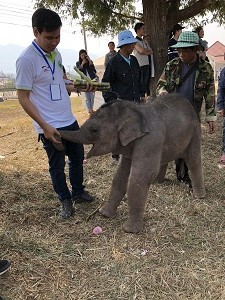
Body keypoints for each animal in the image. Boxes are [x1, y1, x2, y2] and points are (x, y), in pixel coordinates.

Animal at [55, 95, 206, 233]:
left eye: (94, 130)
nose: (56, 135)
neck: (135, 110)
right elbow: (120, 176)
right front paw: (104, 214)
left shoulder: (150, 140)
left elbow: (138, 178)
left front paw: (129, 230)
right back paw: (158, 182)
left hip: (195, 131)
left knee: (193, 160)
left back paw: (199, 196)